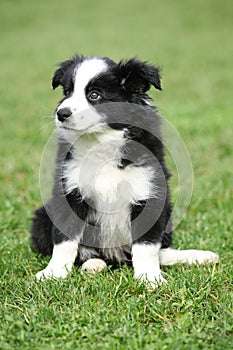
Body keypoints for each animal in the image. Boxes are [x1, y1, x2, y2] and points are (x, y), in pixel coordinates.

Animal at [30, 55, 218, 288]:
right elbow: (64, 240)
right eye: (67, 92)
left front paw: (150, 278)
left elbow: (147, 246)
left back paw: (197, 256)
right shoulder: (69, 191)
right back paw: (93, 264)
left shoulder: (149, 191)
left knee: (161, 251)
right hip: (42, 218)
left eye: (94, 95)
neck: (102, 142)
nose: (61, 114)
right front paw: (53, 273)